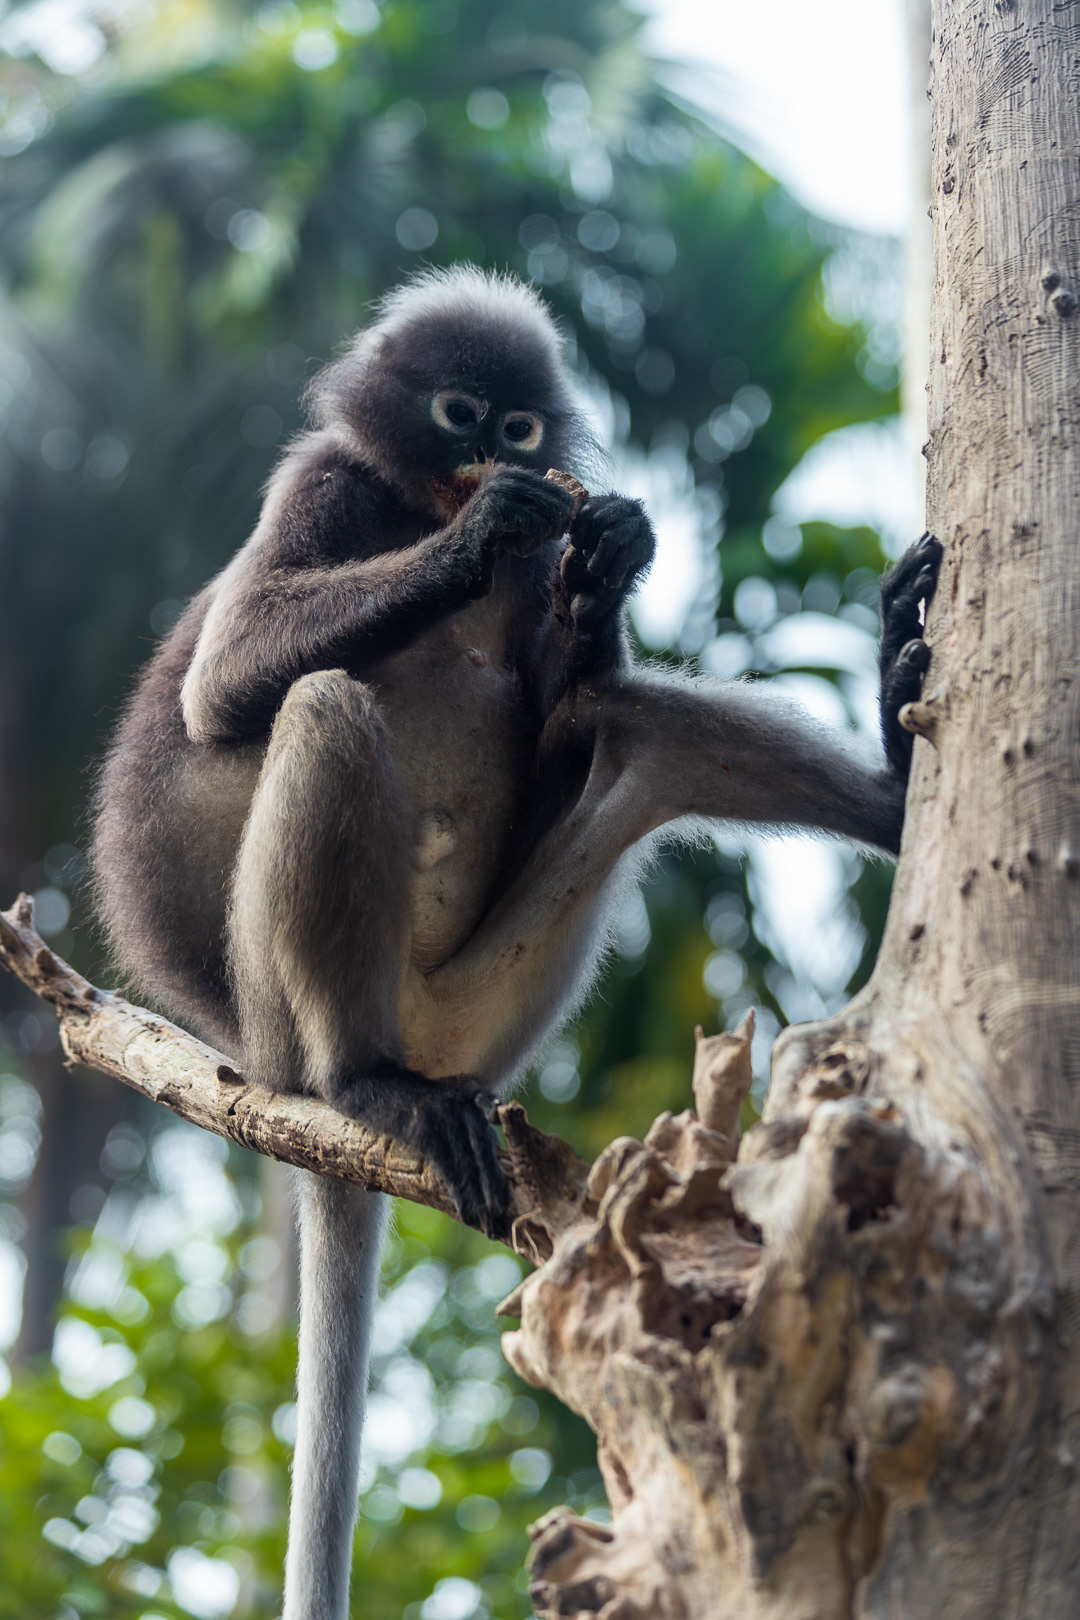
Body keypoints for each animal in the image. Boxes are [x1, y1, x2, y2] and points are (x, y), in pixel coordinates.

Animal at [91, 266, 940, 1620]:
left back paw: (902, 773)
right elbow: (220, 686)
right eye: (459, 412)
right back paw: (370, 1087)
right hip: (293, 1016)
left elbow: (573, 705)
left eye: (522, 423)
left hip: (493, 999)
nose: (491, 456)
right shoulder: (321, 483)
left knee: (639, 723)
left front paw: (610, 565)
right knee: (324, 705)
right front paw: (478, 534)